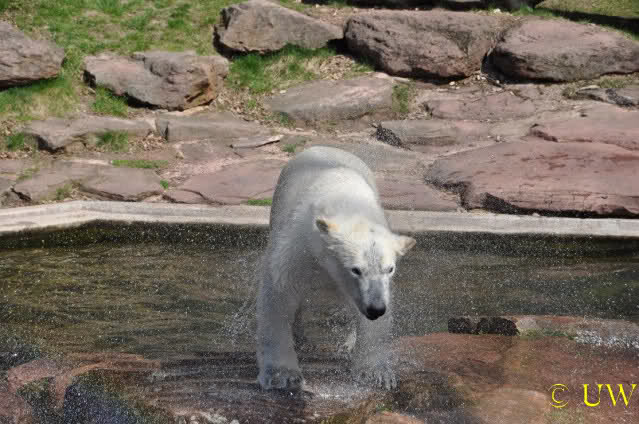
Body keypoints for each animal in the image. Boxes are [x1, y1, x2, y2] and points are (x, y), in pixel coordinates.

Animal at [256, 145, 416, 391]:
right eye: (355, 269)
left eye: (389, 269)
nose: (375, 309)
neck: (347, 203)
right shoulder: (300, 244)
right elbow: (280, 292)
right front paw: (283, 375)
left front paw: (376, 374)